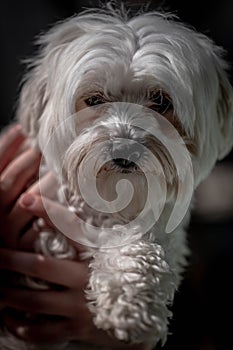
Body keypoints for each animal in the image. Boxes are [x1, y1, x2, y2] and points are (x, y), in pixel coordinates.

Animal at [0, 4, 232, 350]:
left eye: (161, 101)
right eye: (94, 99)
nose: (124, 148)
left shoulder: (163, 227)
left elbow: (140, 248)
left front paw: (131, 304)